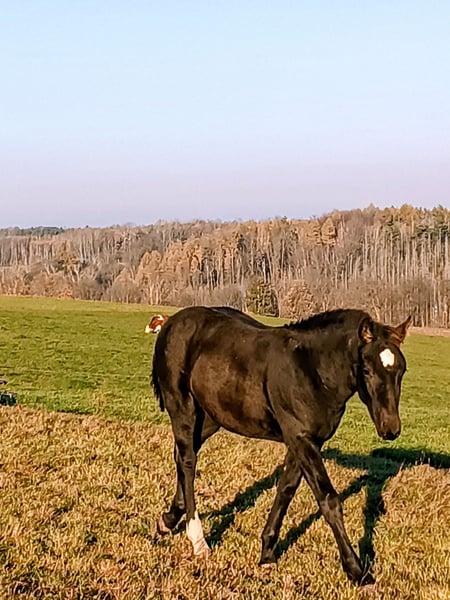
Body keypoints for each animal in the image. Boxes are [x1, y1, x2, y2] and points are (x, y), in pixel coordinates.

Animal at [151, 306, 411, 585]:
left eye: (401, 371)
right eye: (367, 370)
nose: (390, 428)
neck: (311, 369)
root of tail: (171, 322)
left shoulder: (307, 441)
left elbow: (286, 490)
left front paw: (267, 553)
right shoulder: (300, 437)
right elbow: (328, 499)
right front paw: (357, 571)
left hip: (211, 417)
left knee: (181, 456)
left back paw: (168, 520)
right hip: (183, 408)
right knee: (189, 462)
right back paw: (198, 540)